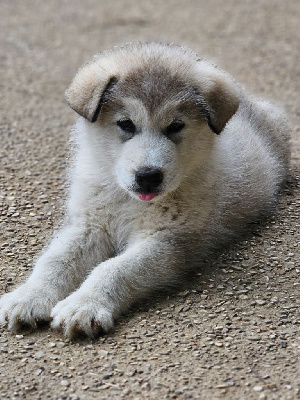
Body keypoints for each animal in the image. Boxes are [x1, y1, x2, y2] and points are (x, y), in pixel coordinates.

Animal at [0, 43, 290, 338]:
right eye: (126, 124)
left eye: (175, 126)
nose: (148, 176)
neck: (130, 201)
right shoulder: (89, 224)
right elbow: (54, 261)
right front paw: (29, 296)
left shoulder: (167, 241)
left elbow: (115, 269)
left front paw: (85, 304)